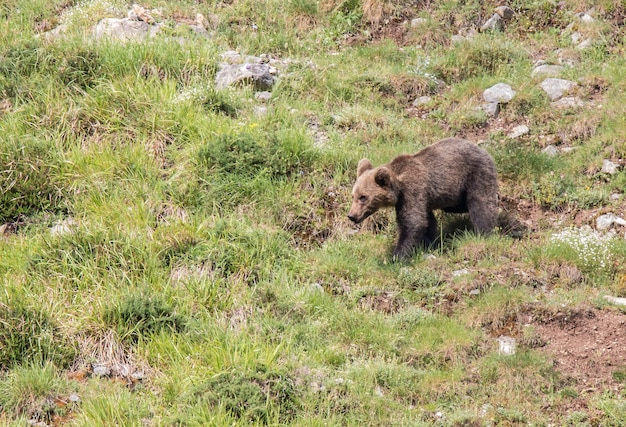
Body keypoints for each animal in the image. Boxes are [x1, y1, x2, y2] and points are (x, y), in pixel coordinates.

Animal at [346, 139, 498, 260]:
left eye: (363, 197)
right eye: (353, 196)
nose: (351, 215)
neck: (399, 187)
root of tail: (484, 151)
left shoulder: (412, 193)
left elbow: (413, 223)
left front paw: (397, 256)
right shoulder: (421, 200)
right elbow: (427, 222)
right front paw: (428, 244)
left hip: (476, 174)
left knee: (480, 205)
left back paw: (485, 232)